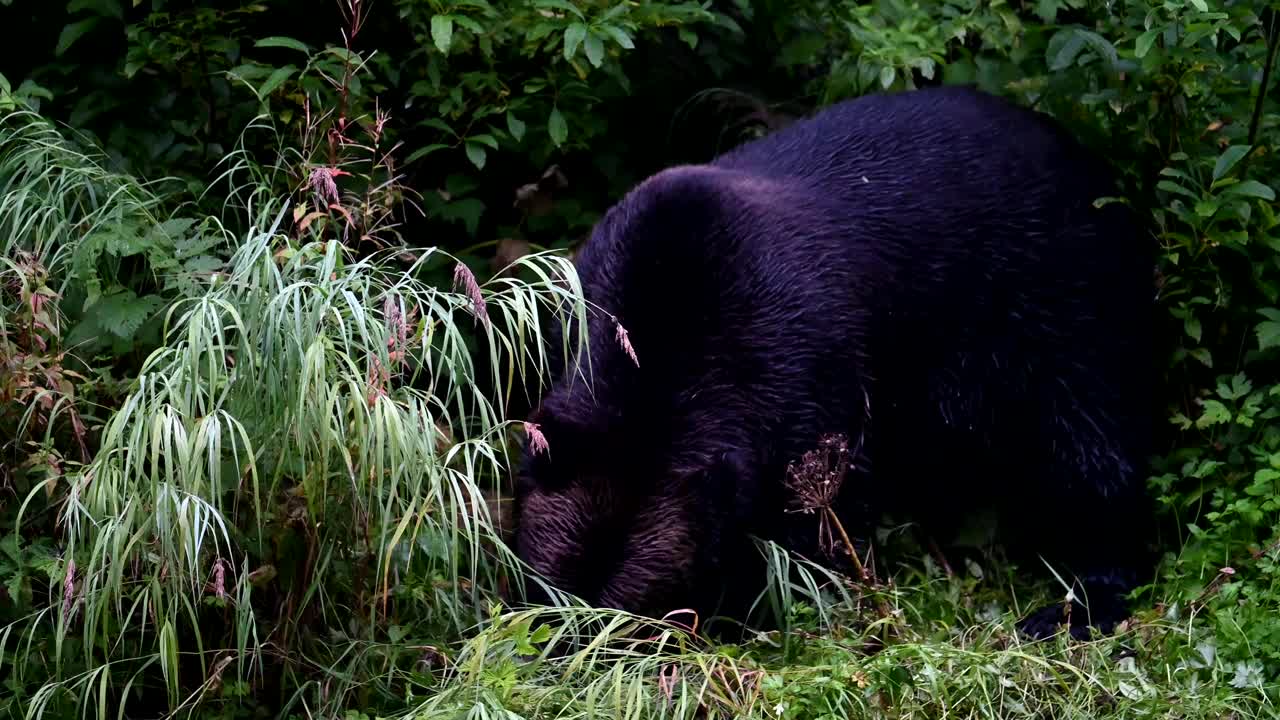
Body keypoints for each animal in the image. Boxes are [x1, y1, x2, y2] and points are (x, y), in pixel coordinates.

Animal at [509, 85, 1162, 638]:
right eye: (550, 594)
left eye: (628, 613)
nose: (568, 650)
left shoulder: (808, 376)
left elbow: (813, 518)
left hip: (1059, 305)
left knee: (1086, 445)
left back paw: (1082, 599)